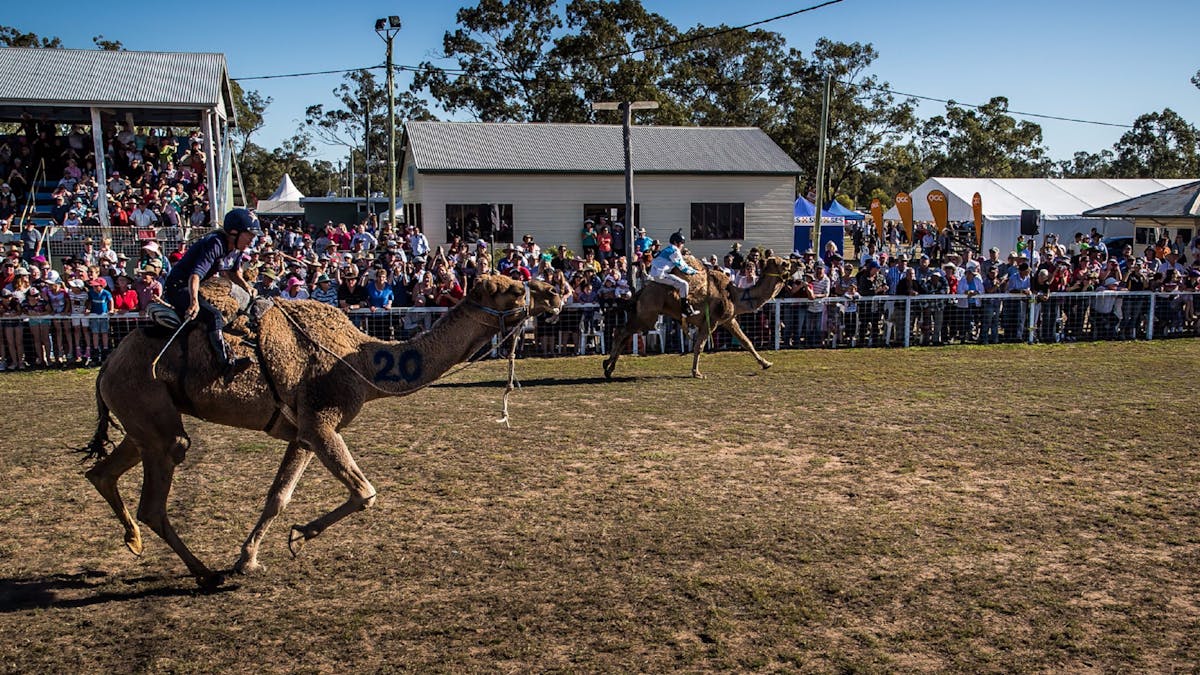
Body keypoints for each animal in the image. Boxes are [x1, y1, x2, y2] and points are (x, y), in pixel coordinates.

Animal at [81, 274, 563, 588]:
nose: (558, 292)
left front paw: (248, 559)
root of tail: (107, 363)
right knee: (155, 495)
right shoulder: (321, 420)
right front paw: (298, 536)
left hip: (142, 420)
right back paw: (202, 572)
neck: (363, 360)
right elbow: (365, 492)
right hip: (150, 409)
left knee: (102, 471)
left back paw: (135, 541)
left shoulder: (301, 431)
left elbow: (278, 496)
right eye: (515, 288)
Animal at [603, 256, 794, 379]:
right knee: (621, 331)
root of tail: (641, 290)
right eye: (784, 263)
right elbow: (699, 346)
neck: (735, 295)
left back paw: (609, 368)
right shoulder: (712, 322)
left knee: (625, 334)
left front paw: (766, 363)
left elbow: (746, 341)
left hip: (643, 315)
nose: (797, 263)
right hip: (648, 315)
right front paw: (697, 373)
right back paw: (606, 365)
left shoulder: (728, 320)